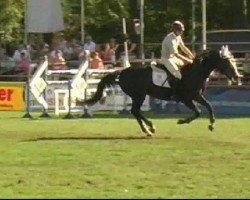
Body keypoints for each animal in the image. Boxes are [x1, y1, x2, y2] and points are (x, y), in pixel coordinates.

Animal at [79, 47, 241, 136]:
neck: (195, 72)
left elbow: (209, 106)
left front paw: (212, 124)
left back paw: (148, 128)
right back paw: (149, 128)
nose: (237, 77)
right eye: (227, 61)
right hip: (139, 95)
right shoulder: (186, 98)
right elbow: (197, 112)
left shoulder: (196, 95)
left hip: (139, 96)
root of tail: (123, 71)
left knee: (135, 111)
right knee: (135, 111)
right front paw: (182, 121)